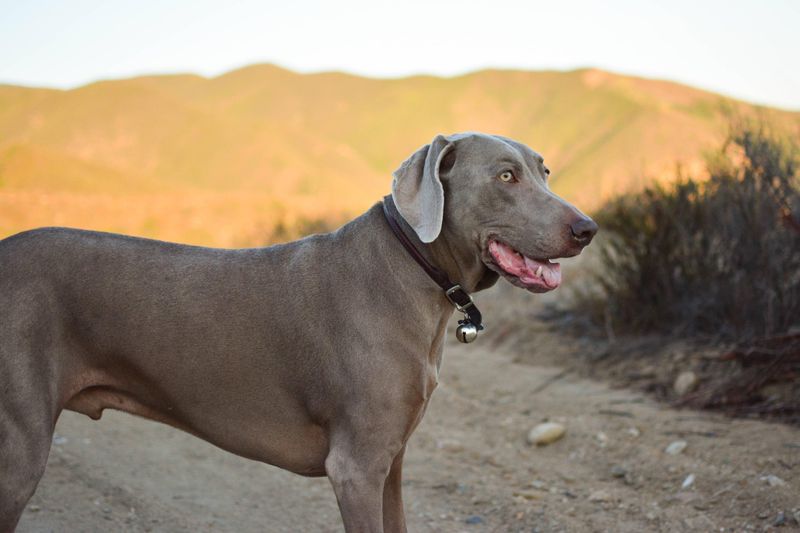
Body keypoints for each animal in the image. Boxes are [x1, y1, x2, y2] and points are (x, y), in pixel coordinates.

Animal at [0, 131, 592, 528]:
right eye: (506, 176)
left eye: (544, 172)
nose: (588, 228)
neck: (412, 270)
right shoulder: (356, 468)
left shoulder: (391, 463)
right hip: (19, 445)